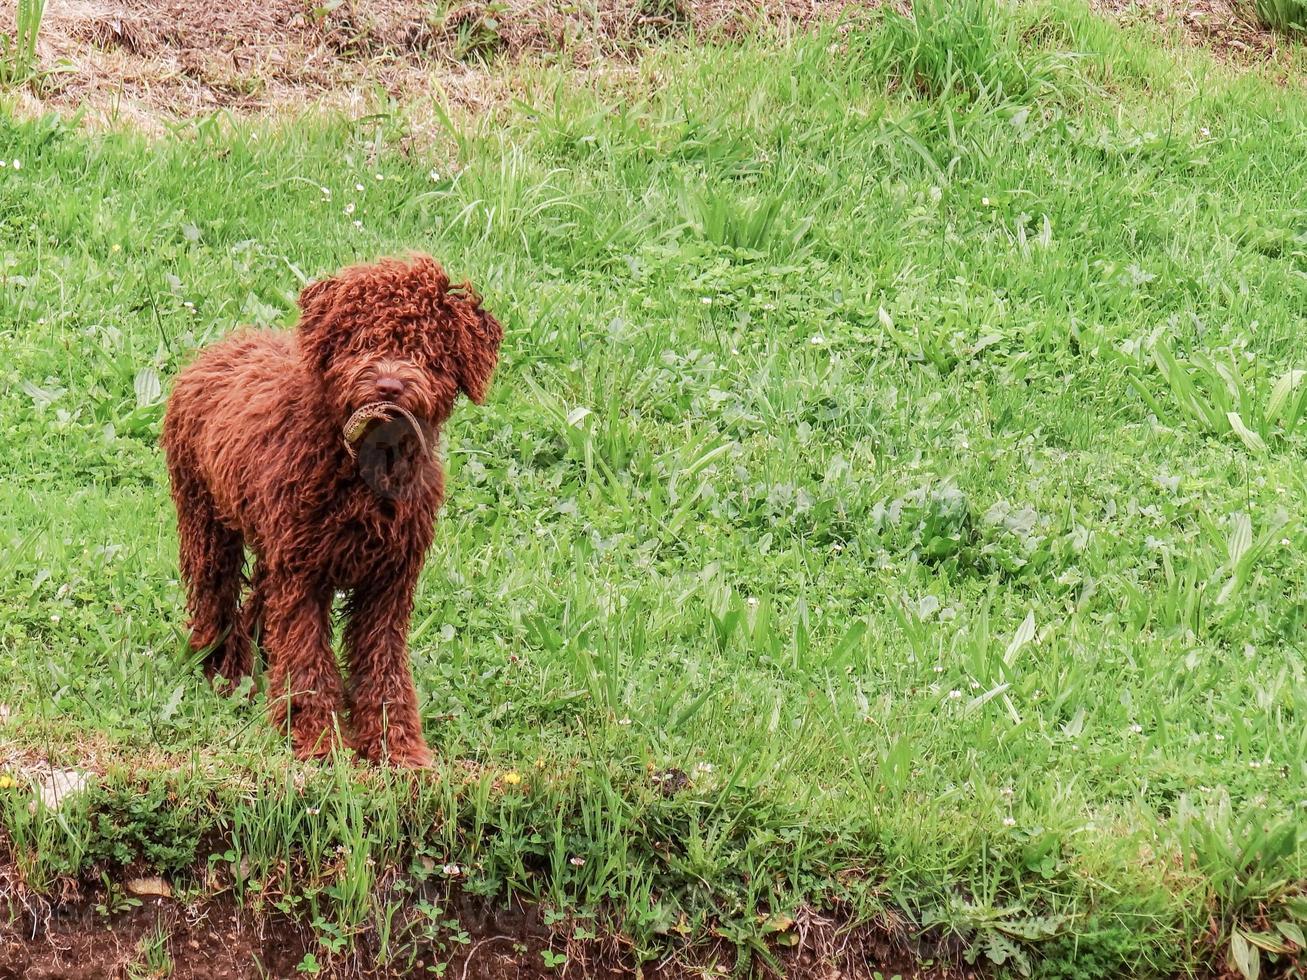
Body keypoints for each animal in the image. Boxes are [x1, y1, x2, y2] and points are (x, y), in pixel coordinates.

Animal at [162, 254, 504, 768]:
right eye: (363, 339)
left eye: (426, 348)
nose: (389, 385)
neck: (361, 468)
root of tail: (223, 344)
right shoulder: (303, 577)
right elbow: (307, 659)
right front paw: (319, 738)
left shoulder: (388, 581)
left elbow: (383, 667)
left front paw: (396, 747)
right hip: (207, 518)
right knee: (214, 596)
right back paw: (223, 671)